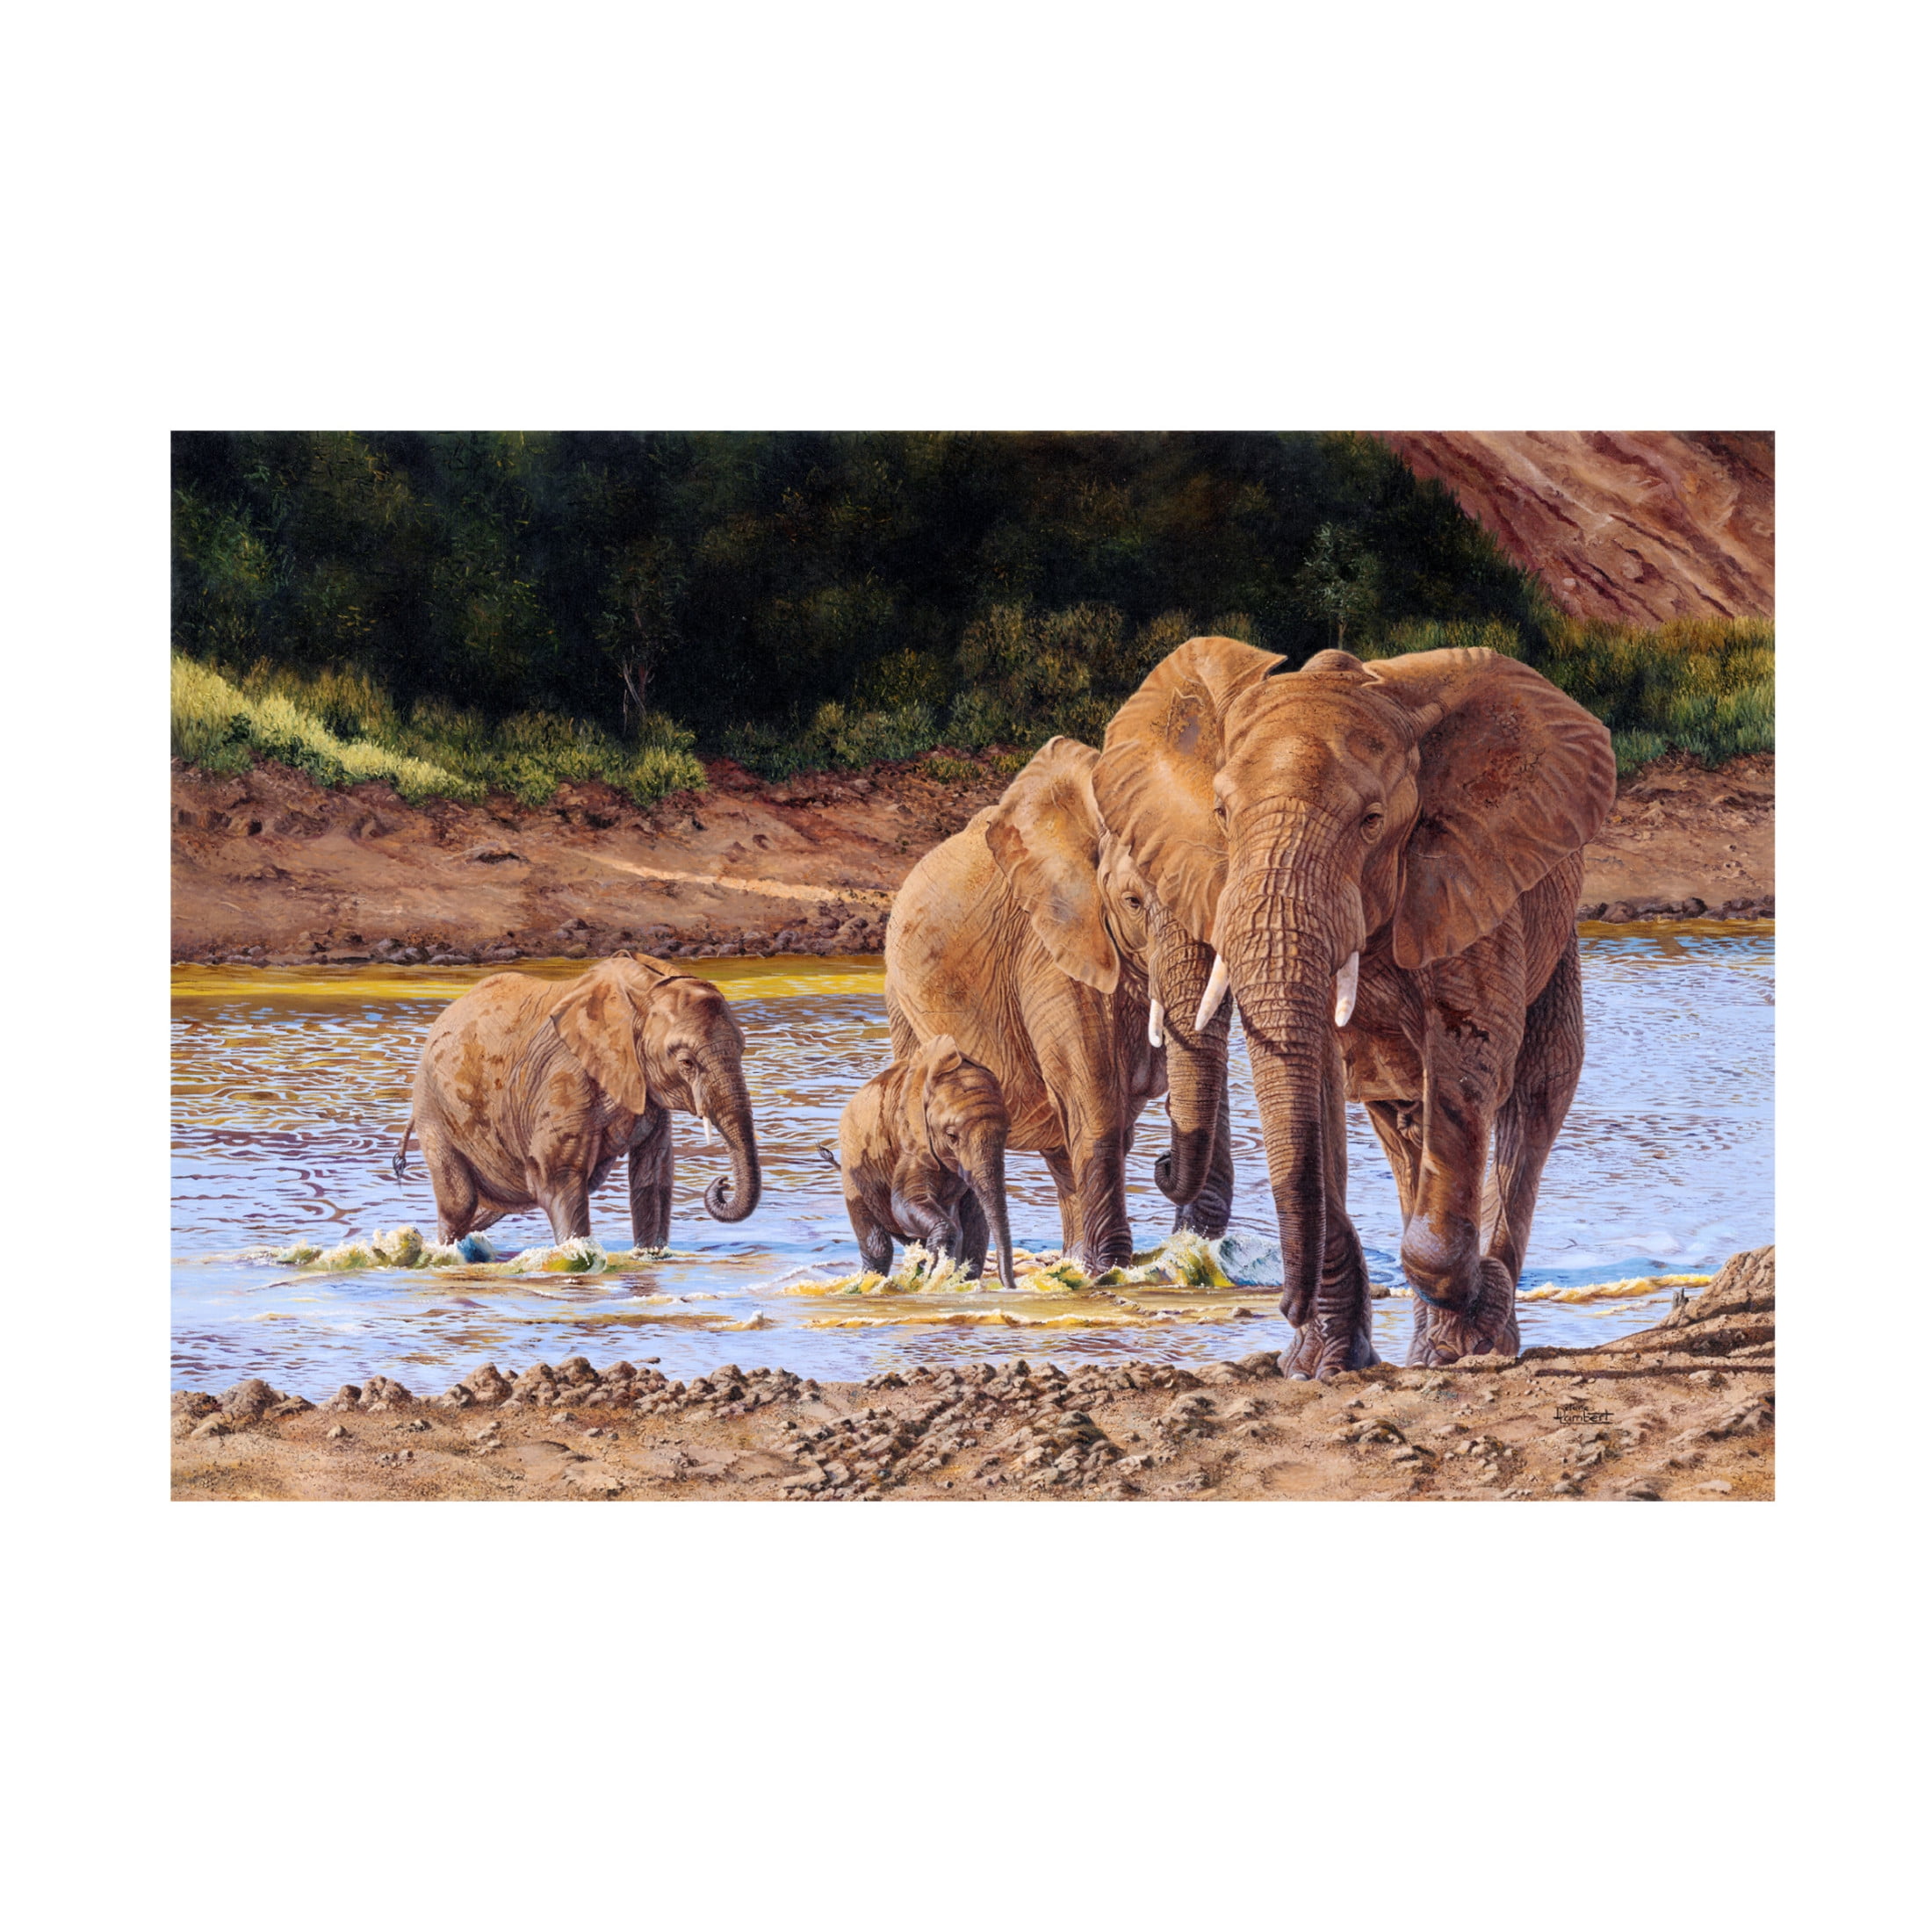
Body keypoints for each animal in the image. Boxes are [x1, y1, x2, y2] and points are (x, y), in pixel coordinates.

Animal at [397, 953, 761, 1246]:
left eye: (743, 1049)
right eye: (686, 1062)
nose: (722, 1182)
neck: (641, 990)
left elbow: (653, 1176)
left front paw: (651, 1257)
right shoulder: (564, 1077)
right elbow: (556, 1177)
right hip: (434, 1107)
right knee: (460, 1203)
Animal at [821, 1033, 1018, 1289]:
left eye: (1008, 1132)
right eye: (951, 1136)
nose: (1012, 1287)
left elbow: (976, 1218)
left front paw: (952, 1278)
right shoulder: (913, 1140)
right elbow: (904, 1203)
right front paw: (935, 1273)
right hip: (852, 1169)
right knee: (878, 1246)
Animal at [884, 734, 1235, 1273]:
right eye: (1133, 902)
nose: (1163, 1162)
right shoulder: (1050, 947)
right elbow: (1095, 1104)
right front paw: (1111, 1270)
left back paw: (1071, 1261)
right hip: (901, 1001)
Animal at [1092, 637, 1615, 1377]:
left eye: (1372, 822)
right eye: (1222, 814)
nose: (1162, 1167)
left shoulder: (1468, 882)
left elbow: (1470, 1060)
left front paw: (1473, 1304)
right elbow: (1321, 1086)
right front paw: (1321, 1366)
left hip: (1553, 923)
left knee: (1534, 1096)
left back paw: (1471, 1339)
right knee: (1400, 1118)